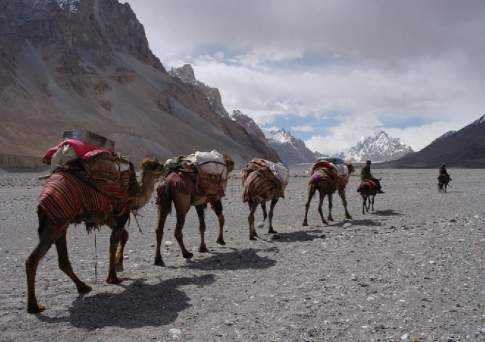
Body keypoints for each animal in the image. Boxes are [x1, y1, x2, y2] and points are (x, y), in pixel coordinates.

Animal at [24, 157, 164, 312]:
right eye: (155, 165)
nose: (165, 167)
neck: (132, 195)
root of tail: (41, 203)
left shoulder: (110, 219)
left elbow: (125, 235)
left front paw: (119, 264)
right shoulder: (119, 216)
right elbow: (113, 245)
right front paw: (113, 278)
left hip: (60, 223)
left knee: (62, 260)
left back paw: (83, 287)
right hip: (54, 223)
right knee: (33, 259)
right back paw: (34, 306)